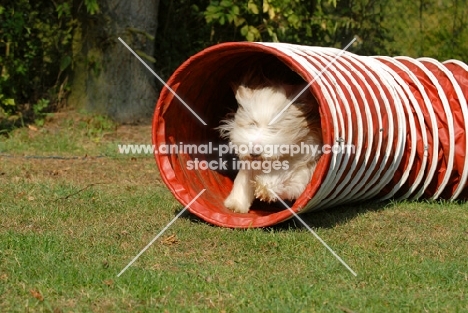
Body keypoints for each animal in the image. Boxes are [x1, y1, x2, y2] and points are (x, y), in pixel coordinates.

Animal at [218, 79, 322, 213]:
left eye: (274, 129)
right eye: (253, 124)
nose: (254, 153)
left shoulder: (302, 164)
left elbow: (285, 174)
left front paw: (264, 187)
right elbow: (243, 181)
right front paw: (236, 204)